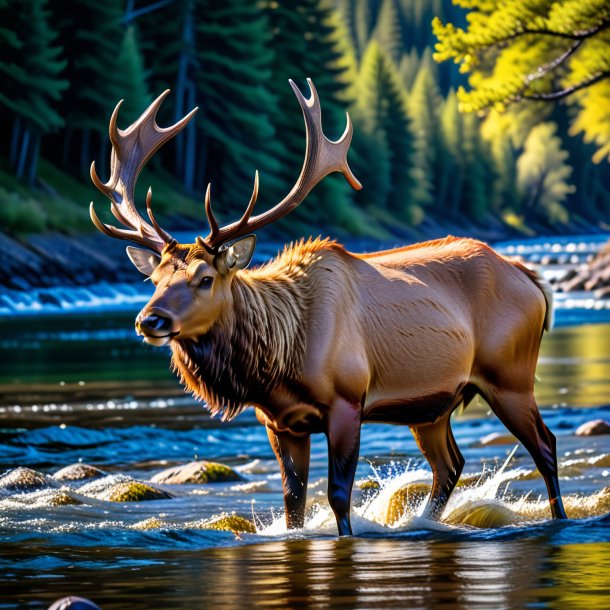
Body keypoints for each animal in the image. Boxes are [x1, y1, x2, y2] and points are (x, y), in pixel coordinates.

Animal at [89, 79, 564, 532]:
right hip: (434, 406)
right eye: (154, 279)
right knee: (450, 465)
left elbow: (338, 496)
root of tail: (530, 278)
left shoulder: (347, 401)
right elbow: (293, 505)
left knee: (545, 445)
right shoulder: (279, 423)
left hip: (509, 375)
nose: (149, 319)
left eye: (204, 278)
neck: (277, 365)